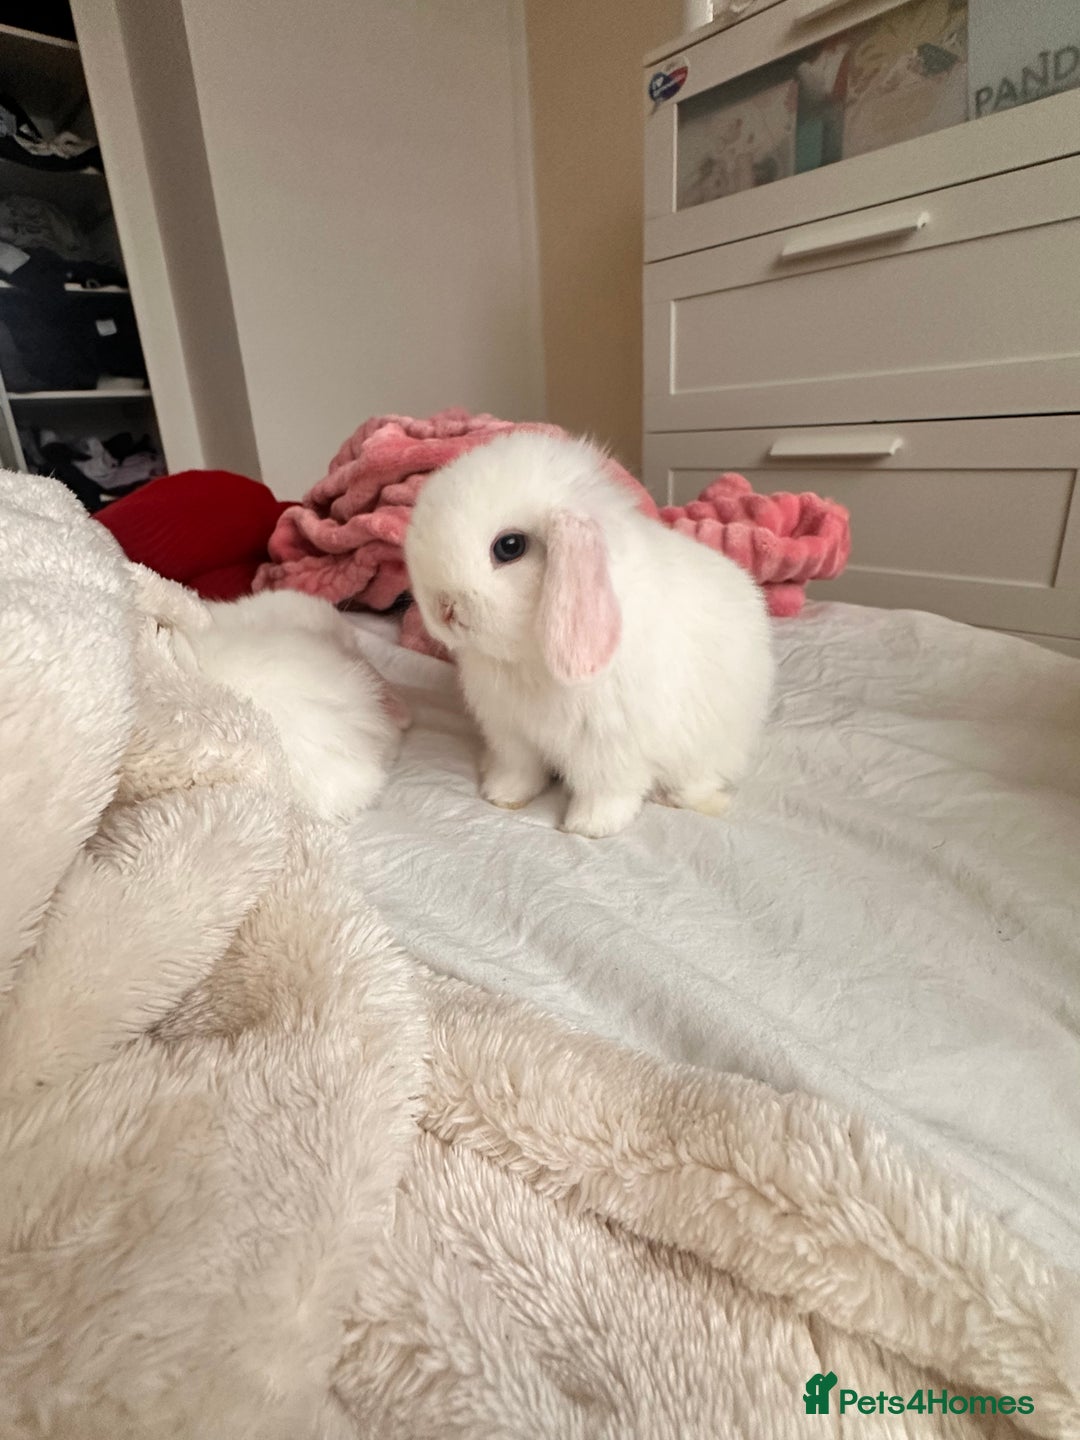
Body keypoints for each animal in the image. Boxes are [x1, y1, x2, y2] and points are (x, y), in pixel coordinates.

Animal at [404, 430, 774, 838]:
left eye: (509, 546)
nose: (444, 608)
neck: (528, 660)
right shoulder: (512, 734)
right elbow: (519, 771)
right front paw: (502, 797)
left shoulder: (610, 747)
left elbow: (606, 791)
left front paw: (589, 827)